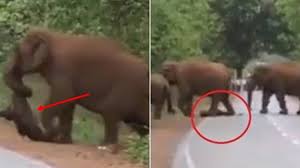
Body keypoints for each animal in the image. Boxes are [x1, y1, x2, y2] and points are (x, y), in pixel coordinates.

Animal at [3, 28, 149, 150]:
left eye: (18, 52)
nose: (28, 91)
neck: (52, 36)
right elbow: (68, 104)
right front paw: (64, 141)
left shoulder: (62, 70)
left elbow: (63, 97)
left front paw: (55, 134)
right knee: (138, 120)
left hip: (125, 89)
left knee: (110, 113)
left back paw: (106, 146)